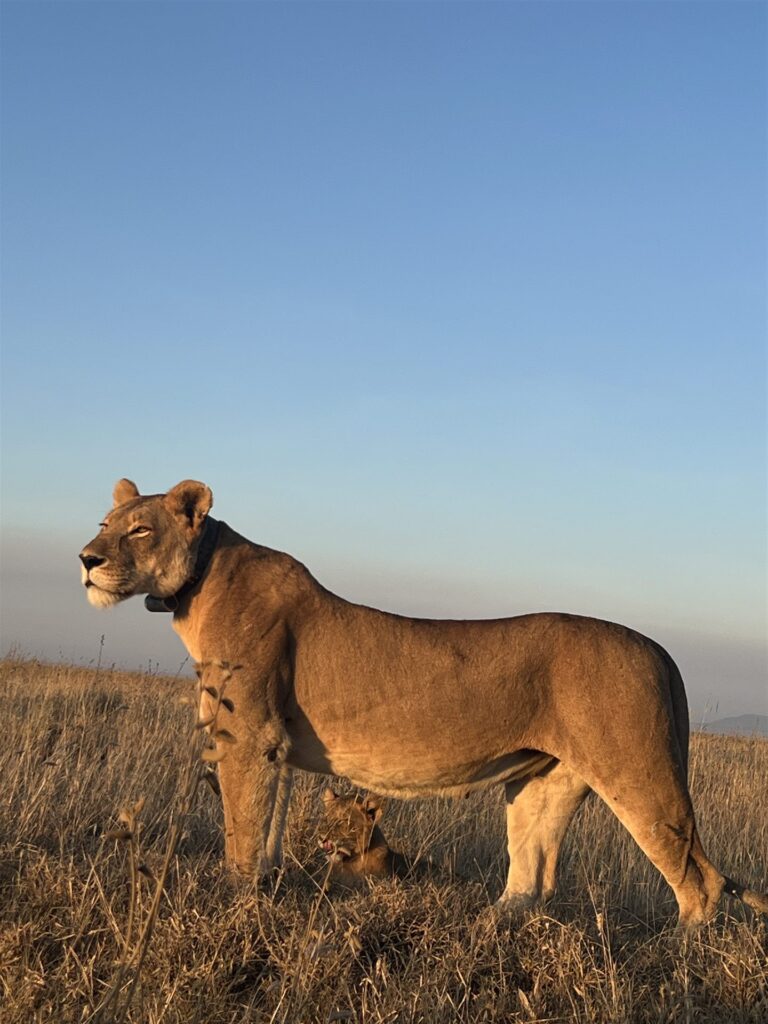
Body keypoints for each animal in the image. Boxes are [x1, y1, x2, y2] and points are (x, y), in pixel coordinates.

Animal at [79, 478, 768, 928]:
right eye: (103, 527)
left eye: (139, 529)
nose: (86, 560)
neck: (194, 587)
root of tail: (658, 646)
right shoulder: (273, 748)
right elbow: (267, 827)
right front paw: (265, 893)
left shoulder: (249, 736)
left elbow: (241, 828)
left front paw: (234, 901)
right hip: (545, 781)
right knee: (534, 873)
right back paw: (492, 924)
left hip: (637, 770)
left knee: (700, 882)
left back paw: (677, 961)